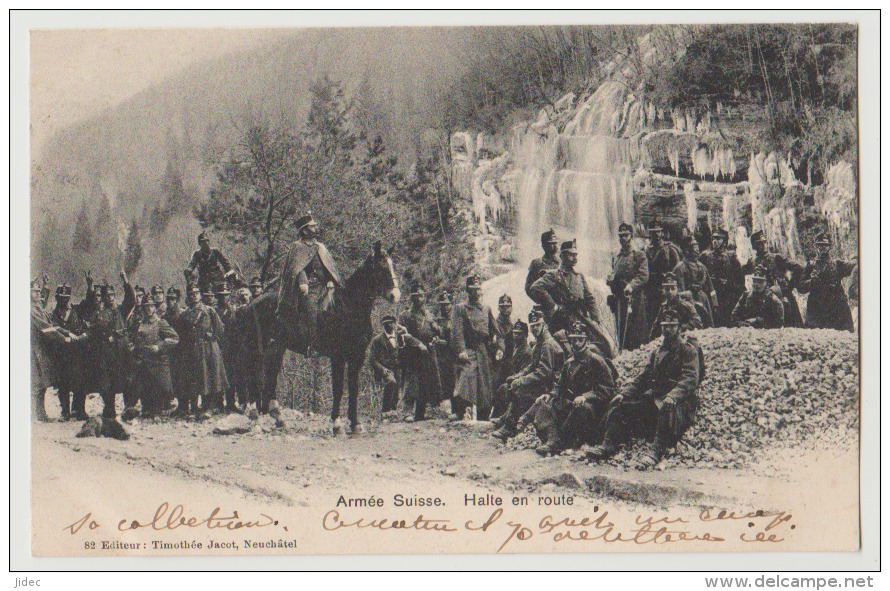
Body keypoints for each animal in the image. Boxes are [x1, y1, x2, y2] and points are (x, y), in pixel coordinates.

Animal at [236, 242, 402, 434]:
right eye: (381, 268)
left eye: (392, 265)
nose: (395, 295)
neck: (349, 306)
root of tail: (251, 305)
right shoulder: (338, 356)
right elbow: (338, 388)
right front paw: (337, 423)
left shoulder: (357, 356)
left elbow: (353, 388)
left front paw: (355, 423)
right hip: (257, 349)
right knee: (254, 377)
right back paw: (255, 417)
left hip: (275, 349)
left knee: (270, 377)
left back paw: (278, 418)